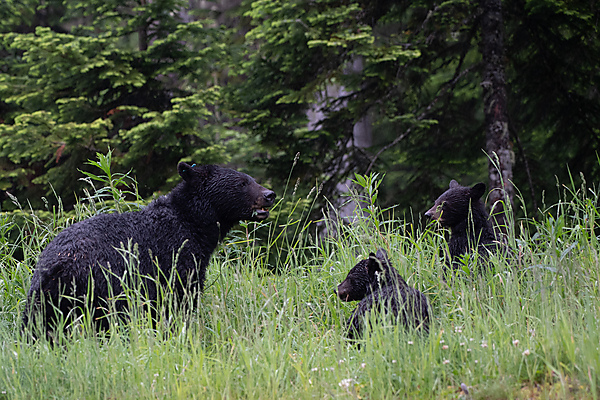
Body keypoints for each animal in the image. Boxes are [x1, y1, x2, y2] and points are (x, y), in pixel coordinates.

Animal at [22, 162, 276, 334]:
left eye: (251, 178)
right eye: (242, 183)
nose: (269, 194)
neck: (191, 222)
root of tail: (54, 268)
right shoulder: (174, 258)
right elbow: (179, 299)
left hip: (43, 301)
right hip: (100, 287)